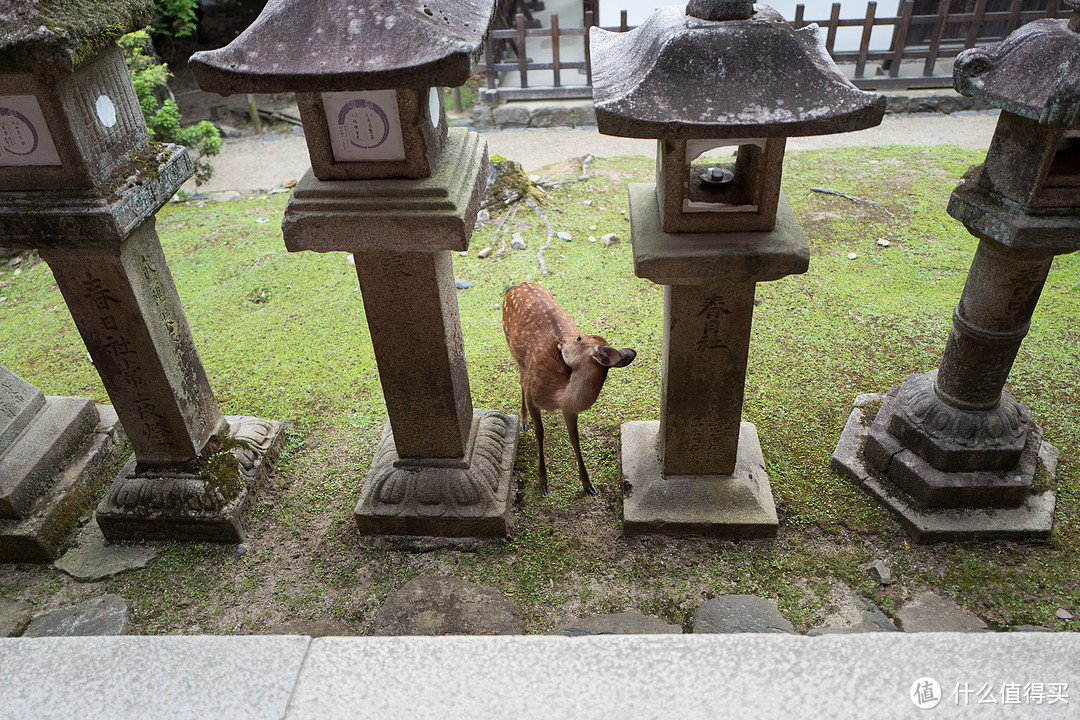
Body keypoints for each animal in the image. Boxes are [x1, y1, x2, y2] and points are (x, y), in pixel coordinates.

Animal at [501, 282, 635, 496]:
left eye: (579, 337)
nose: (561, 335)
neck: (558, 394)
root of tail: (517, 285)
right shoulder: (532, 392)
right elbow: (540, 432)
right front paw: (543, 481)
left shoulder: (569, 409)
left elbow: (575, 437)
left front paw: (588, 484)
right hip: (514, 351)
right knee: (520, 379)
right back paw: (523, 421)